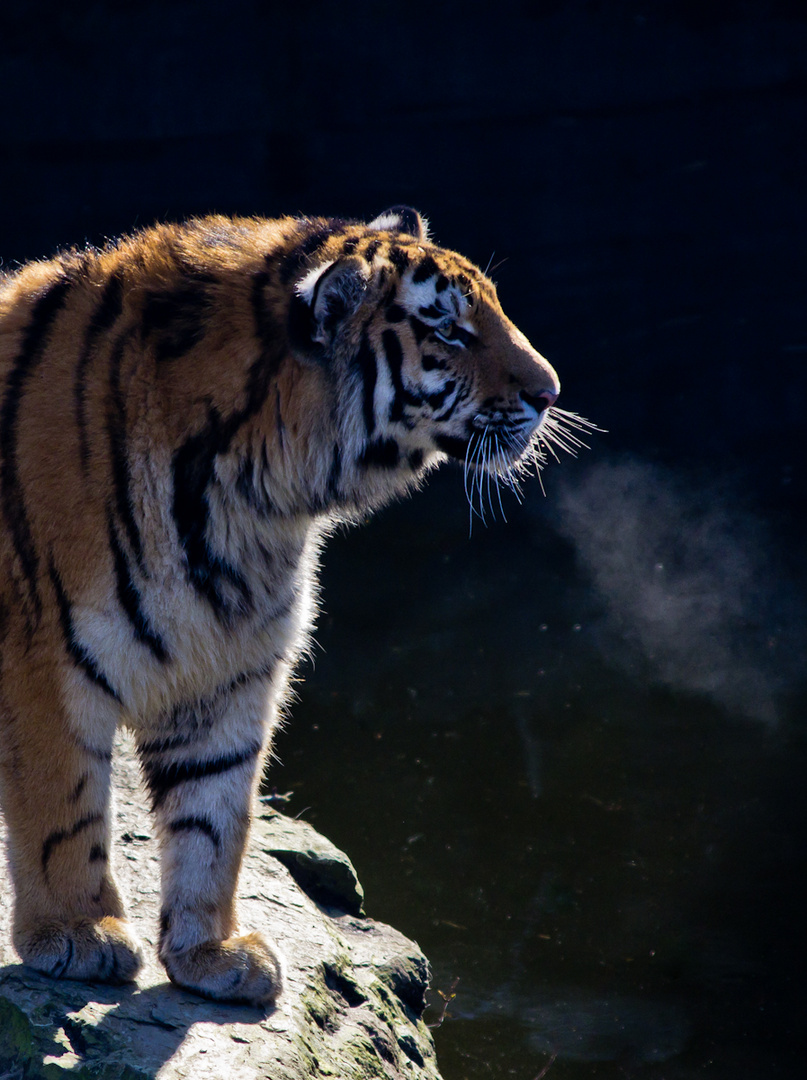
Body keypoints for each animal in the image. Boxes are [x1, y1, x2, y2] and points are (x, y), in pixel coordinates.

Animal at [0, 208, 570, 1002]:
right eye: (451, 332)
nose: (551, 392)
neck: (254, 501)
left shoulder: (228, 666)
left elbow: (216, 818)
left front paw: (212, 951)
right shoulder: (46, 659)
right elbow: (67, 806)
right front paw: (79, 932)